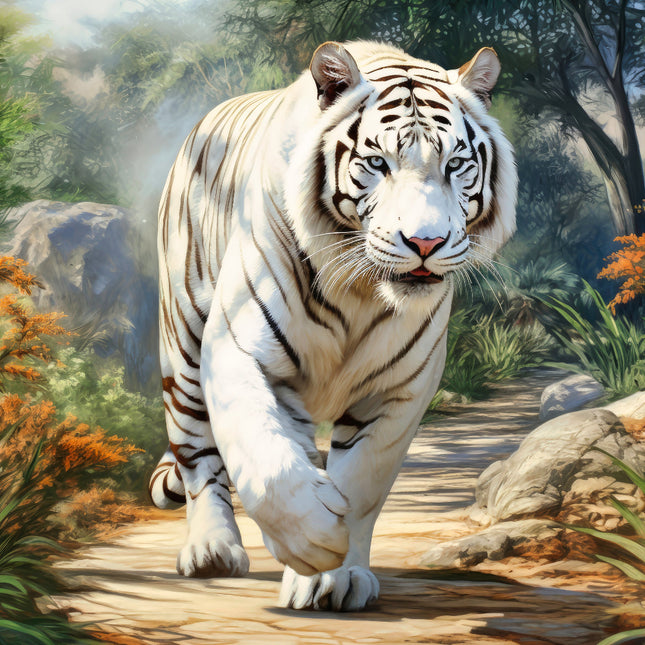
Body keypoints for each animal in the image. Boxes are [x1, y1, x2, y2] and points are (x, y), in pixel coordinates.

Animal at [149, 40, 517, 611]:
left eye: (455, 164)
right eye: (378, 163)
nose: (426, 242)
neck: (361, 291)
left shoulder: (402, 387)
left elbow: (362, 482)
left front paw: (333, 575)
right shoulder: (237, 349)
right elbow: (264, 460)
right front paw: (314, 542)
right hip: (183, 349)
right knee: (200, 458)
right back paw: (213, 550)